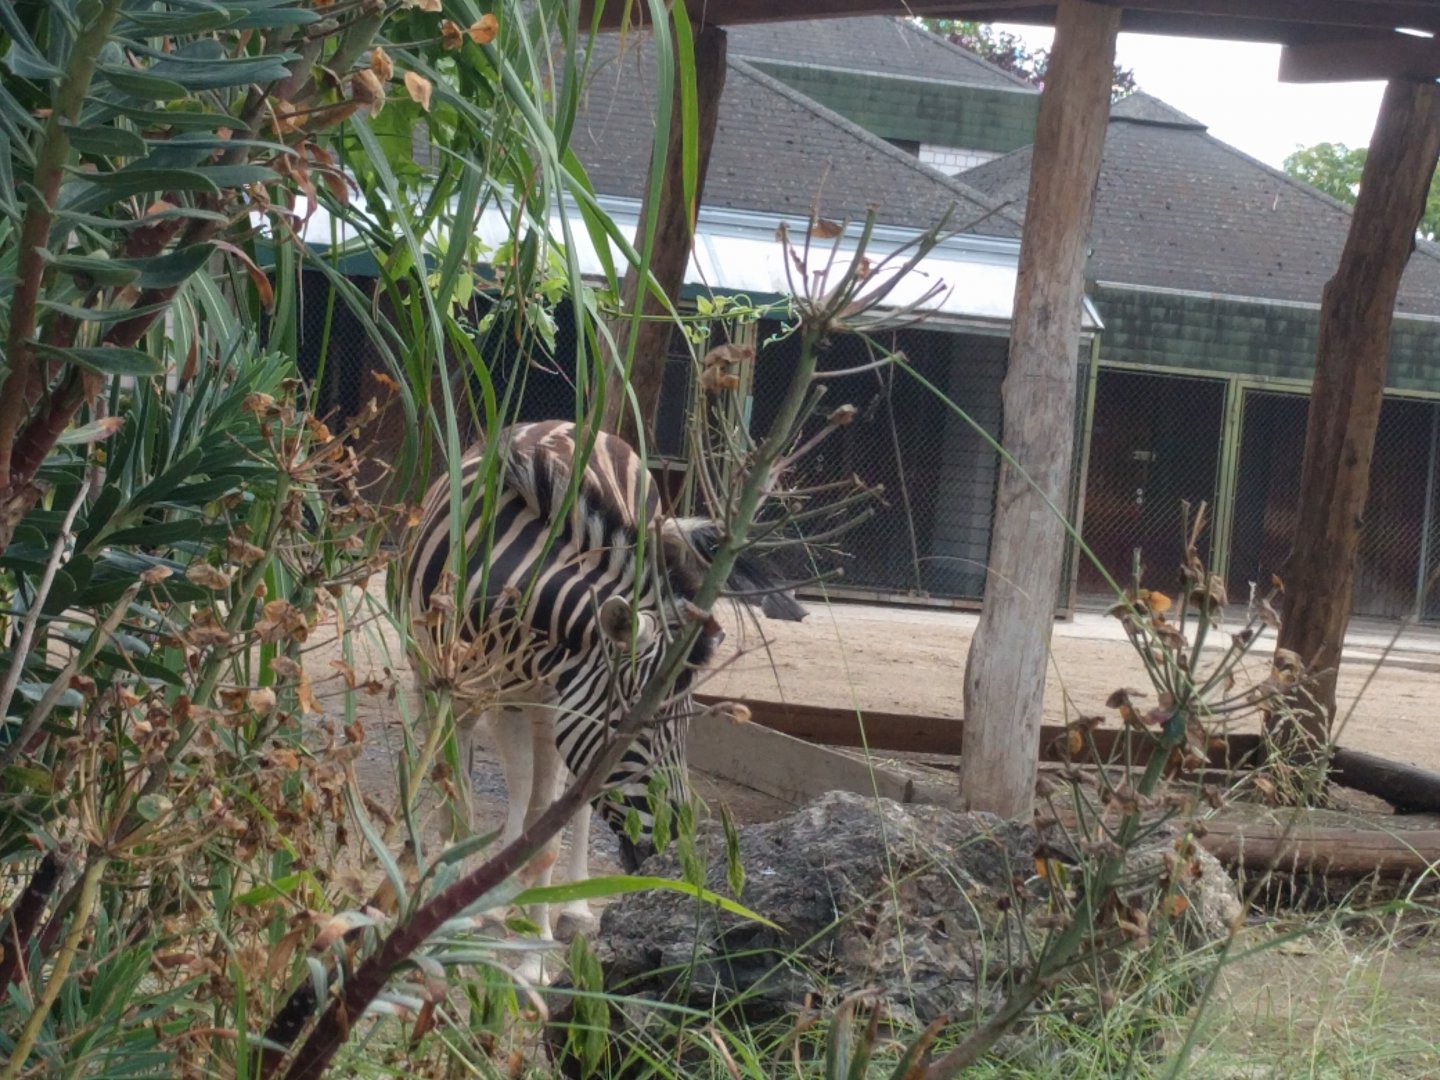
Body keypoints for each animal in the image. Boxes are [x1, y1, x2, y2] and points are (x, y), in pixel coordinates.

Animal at [402, 420, 803, 966]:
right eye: (632, 725)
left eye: (683, 727)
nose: (672, 846)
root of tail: (566, 424)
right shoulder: (439, 686)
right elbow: (457, 813)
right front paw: (445, 914)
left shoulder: (554, 704)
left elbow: (546, 832)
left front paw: (533, 957)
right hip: (501, 698)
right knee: (519, 780)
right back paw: (494, 901)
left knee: (563, 799)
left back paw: (569, 909)